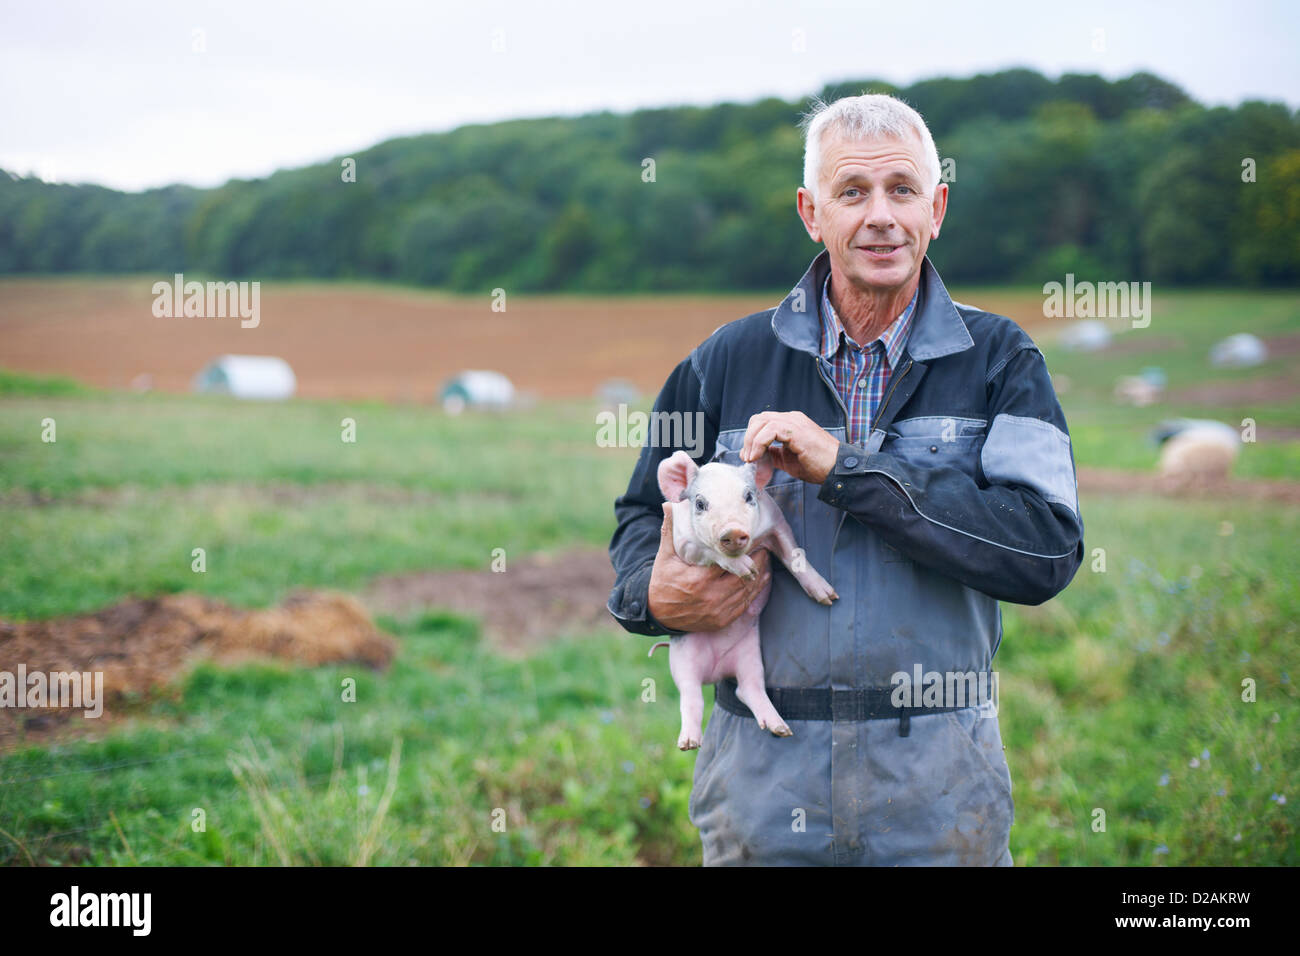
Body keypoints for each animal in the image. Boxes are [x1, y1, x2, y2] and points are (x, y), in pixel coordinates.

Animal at [647, 452, 837, 749]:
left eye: (748, 496)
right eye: (700, 503)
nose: (733, 531)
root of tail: (716, 670)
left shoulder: (776, 522)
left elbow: (793, 554)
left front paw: (828, 597)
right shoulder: (683, 543)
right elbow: (710, 551)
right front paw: (749, 570)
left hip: (750, 656)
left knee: (746, 689)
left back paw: (781, 729)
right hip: (682, 657)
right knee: (691, 696)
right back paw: (689, 743)